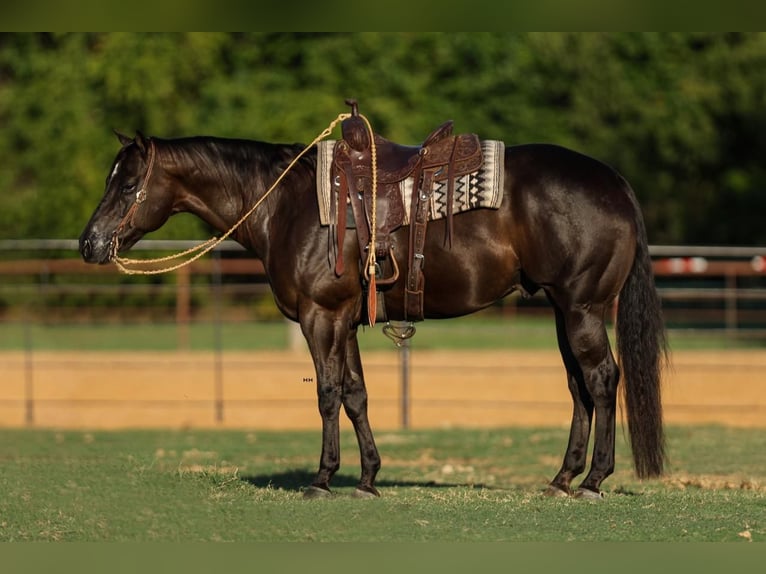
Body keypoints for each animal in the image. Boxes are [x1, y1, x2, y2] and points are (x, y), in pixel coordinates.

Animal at [79, 128, 664, 502]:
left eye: (127, 185)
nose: (89, 244)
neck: (288, 204)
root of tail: (614, 181)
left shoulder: (319, 316)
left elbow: (327, 393)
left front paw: (322, 478)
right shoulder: (344, 320)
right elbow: (356, 394)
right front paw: (367, 478)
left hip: (582, 309)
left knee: (601, 380)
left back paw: (593, 481)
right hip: (564, 311)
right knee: (579, 386)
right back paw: (563, 477)